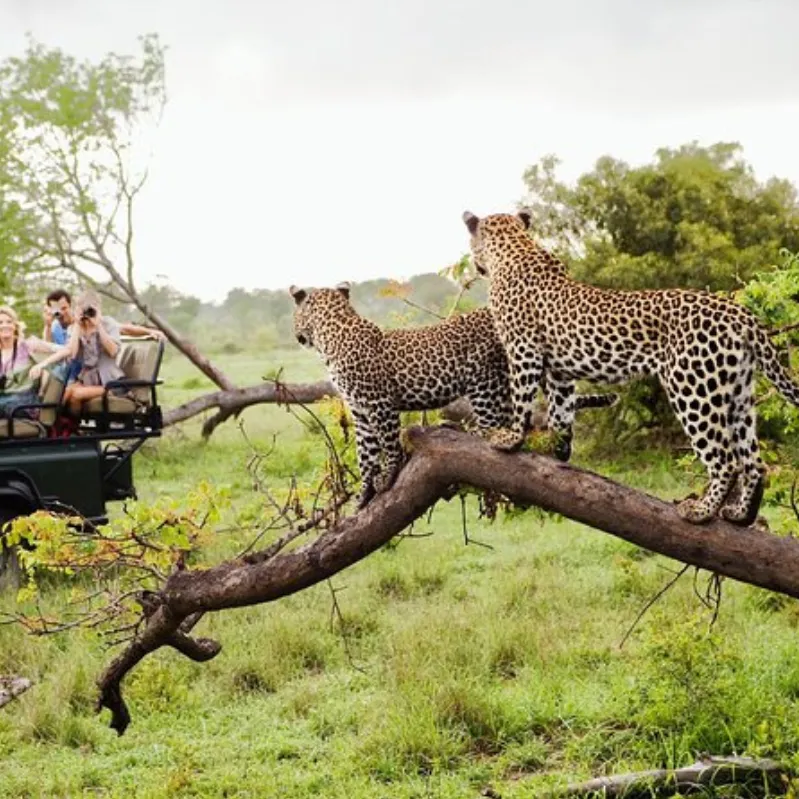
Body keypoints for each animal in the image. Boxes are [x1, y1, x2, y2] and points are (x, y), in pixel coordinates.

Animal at [290, 284, 620, 510]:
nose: (297, 336)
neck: (331, 336)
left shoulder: (379, 405)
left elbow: (388, 444)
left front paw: (388, 476)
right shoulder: (360, 412)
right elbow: (365, 454)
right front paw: (362, 496)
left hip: (484, 381)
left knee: (495, 427)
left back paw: (467, 431)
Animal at [460, 209, 799, 528]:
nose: (476, 266)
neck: (514, 247)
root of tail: (742, 315)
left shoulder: (523, 350)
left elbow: (522, 399)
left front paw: (511, 438)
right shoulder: (560, 371)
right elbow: (561, 410)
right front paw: (559, 449)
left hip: (693, 389)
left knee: (725, 460)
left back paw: (701, 512)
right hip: (738, 393)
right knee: (754, 461)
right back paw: (740, 515)